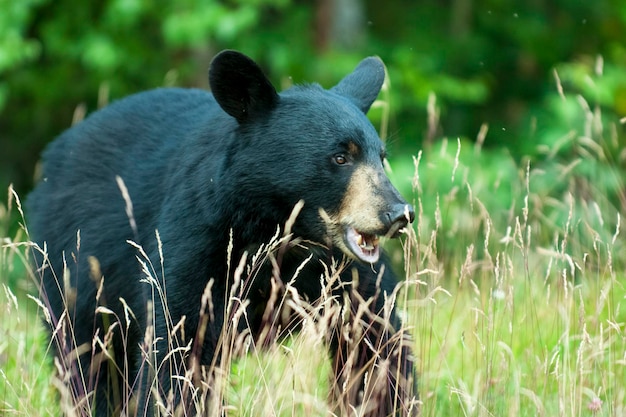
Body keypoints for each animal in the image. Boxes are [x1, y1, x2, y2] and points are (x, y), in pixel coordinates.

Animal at [30, 50, 420, 414]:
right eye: (340, 157)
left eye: (381, 157)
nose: (398, 213)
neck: (282, 232)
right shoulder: (199, 239)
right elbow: (180, 342)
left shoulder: (345, 272)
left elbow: (374, 342)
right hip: (74, 266)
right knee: (88, 358)